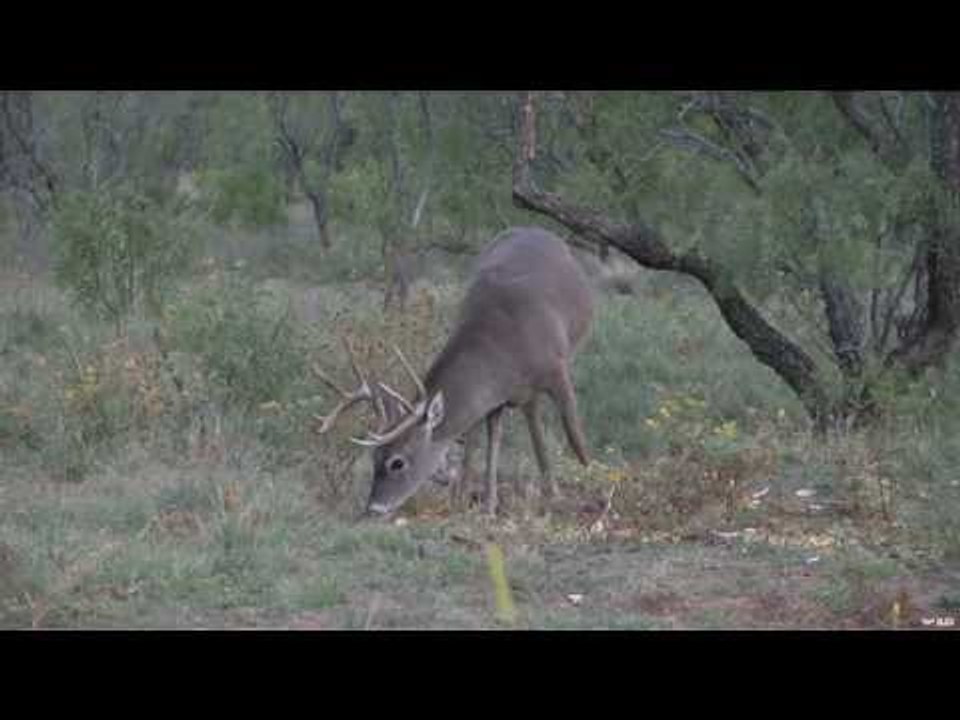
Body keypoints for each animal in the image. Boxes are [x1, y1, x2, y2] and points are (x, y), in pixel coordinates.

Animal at [316, 226, 595, 518]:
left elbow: (574, 433)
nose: (374, 508)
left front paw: (588, 478)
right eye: (374, 457)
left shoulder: (556, 369)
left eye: (397, 462)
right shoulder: (495, 397)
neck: (501, 343)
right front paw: (486, 504)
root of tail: (536, 229)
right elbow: (489, 441)